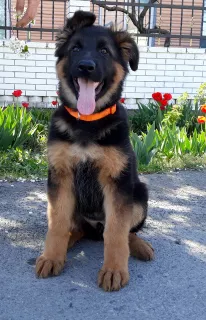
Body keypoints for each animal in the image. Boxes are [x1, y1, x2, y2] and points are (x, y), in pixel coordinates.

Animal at [35, 10, 154, 292]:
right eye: (76, 49)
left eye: (104, 51)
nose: (86, 66)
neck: (87, 124)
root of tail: (93, 227)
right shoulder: (60, 177)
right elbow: (57, 225)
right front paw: (52, 256)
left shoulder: (117, 184)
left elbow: (116, 232)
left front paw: (114, 270)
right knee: (72, 227)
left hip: (139, 195)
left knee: (126, 232)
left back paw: (140, 246)